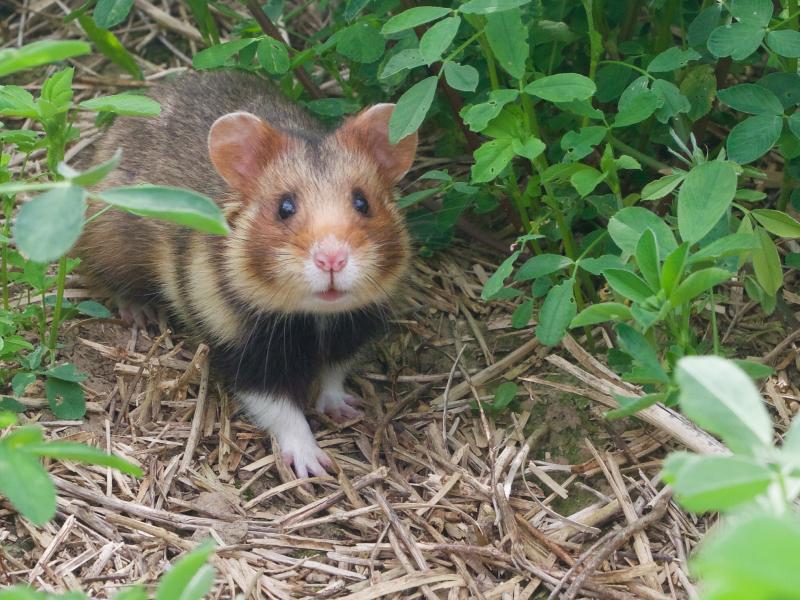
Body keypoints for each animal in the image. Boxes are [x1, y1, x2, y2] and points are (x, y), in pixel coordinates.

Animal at [75, 71, 417, 477]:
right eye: (285, 207)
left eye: (363, 203)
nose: (332, 260)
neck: (313, 316)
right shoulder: (240, 348)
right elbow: (281, 410)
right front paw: (312, 467)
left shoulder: (350, 329)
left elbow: (333, 375)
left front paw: (345, 410)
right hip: (108, 241)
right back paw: (140, 313)